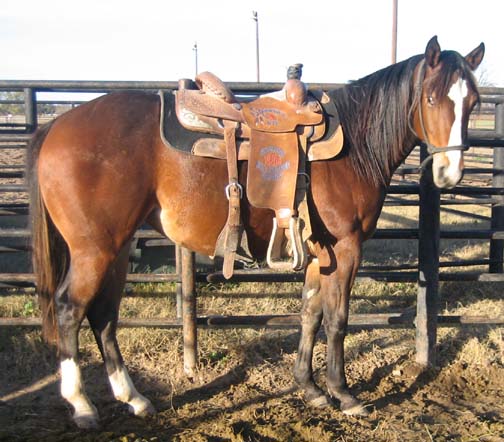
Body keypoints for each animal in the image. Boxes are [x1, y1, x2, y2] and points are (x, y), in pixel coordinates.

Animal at [27, 38, 484, 428]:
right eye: (431, 99)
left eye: (474, 102)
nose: (450, 173)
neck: (355, 147)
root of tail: (57, 126)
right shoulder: (346, 248)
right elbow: (337, 319)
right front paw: (344, 394)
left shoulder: (319, 252)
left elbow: (310, 313)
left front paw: (310, 388)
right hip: (94, 249)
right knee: (70, 309)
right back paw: (82, 405)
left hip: (117, 249)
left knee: (104, 314)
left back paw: (134, 398)